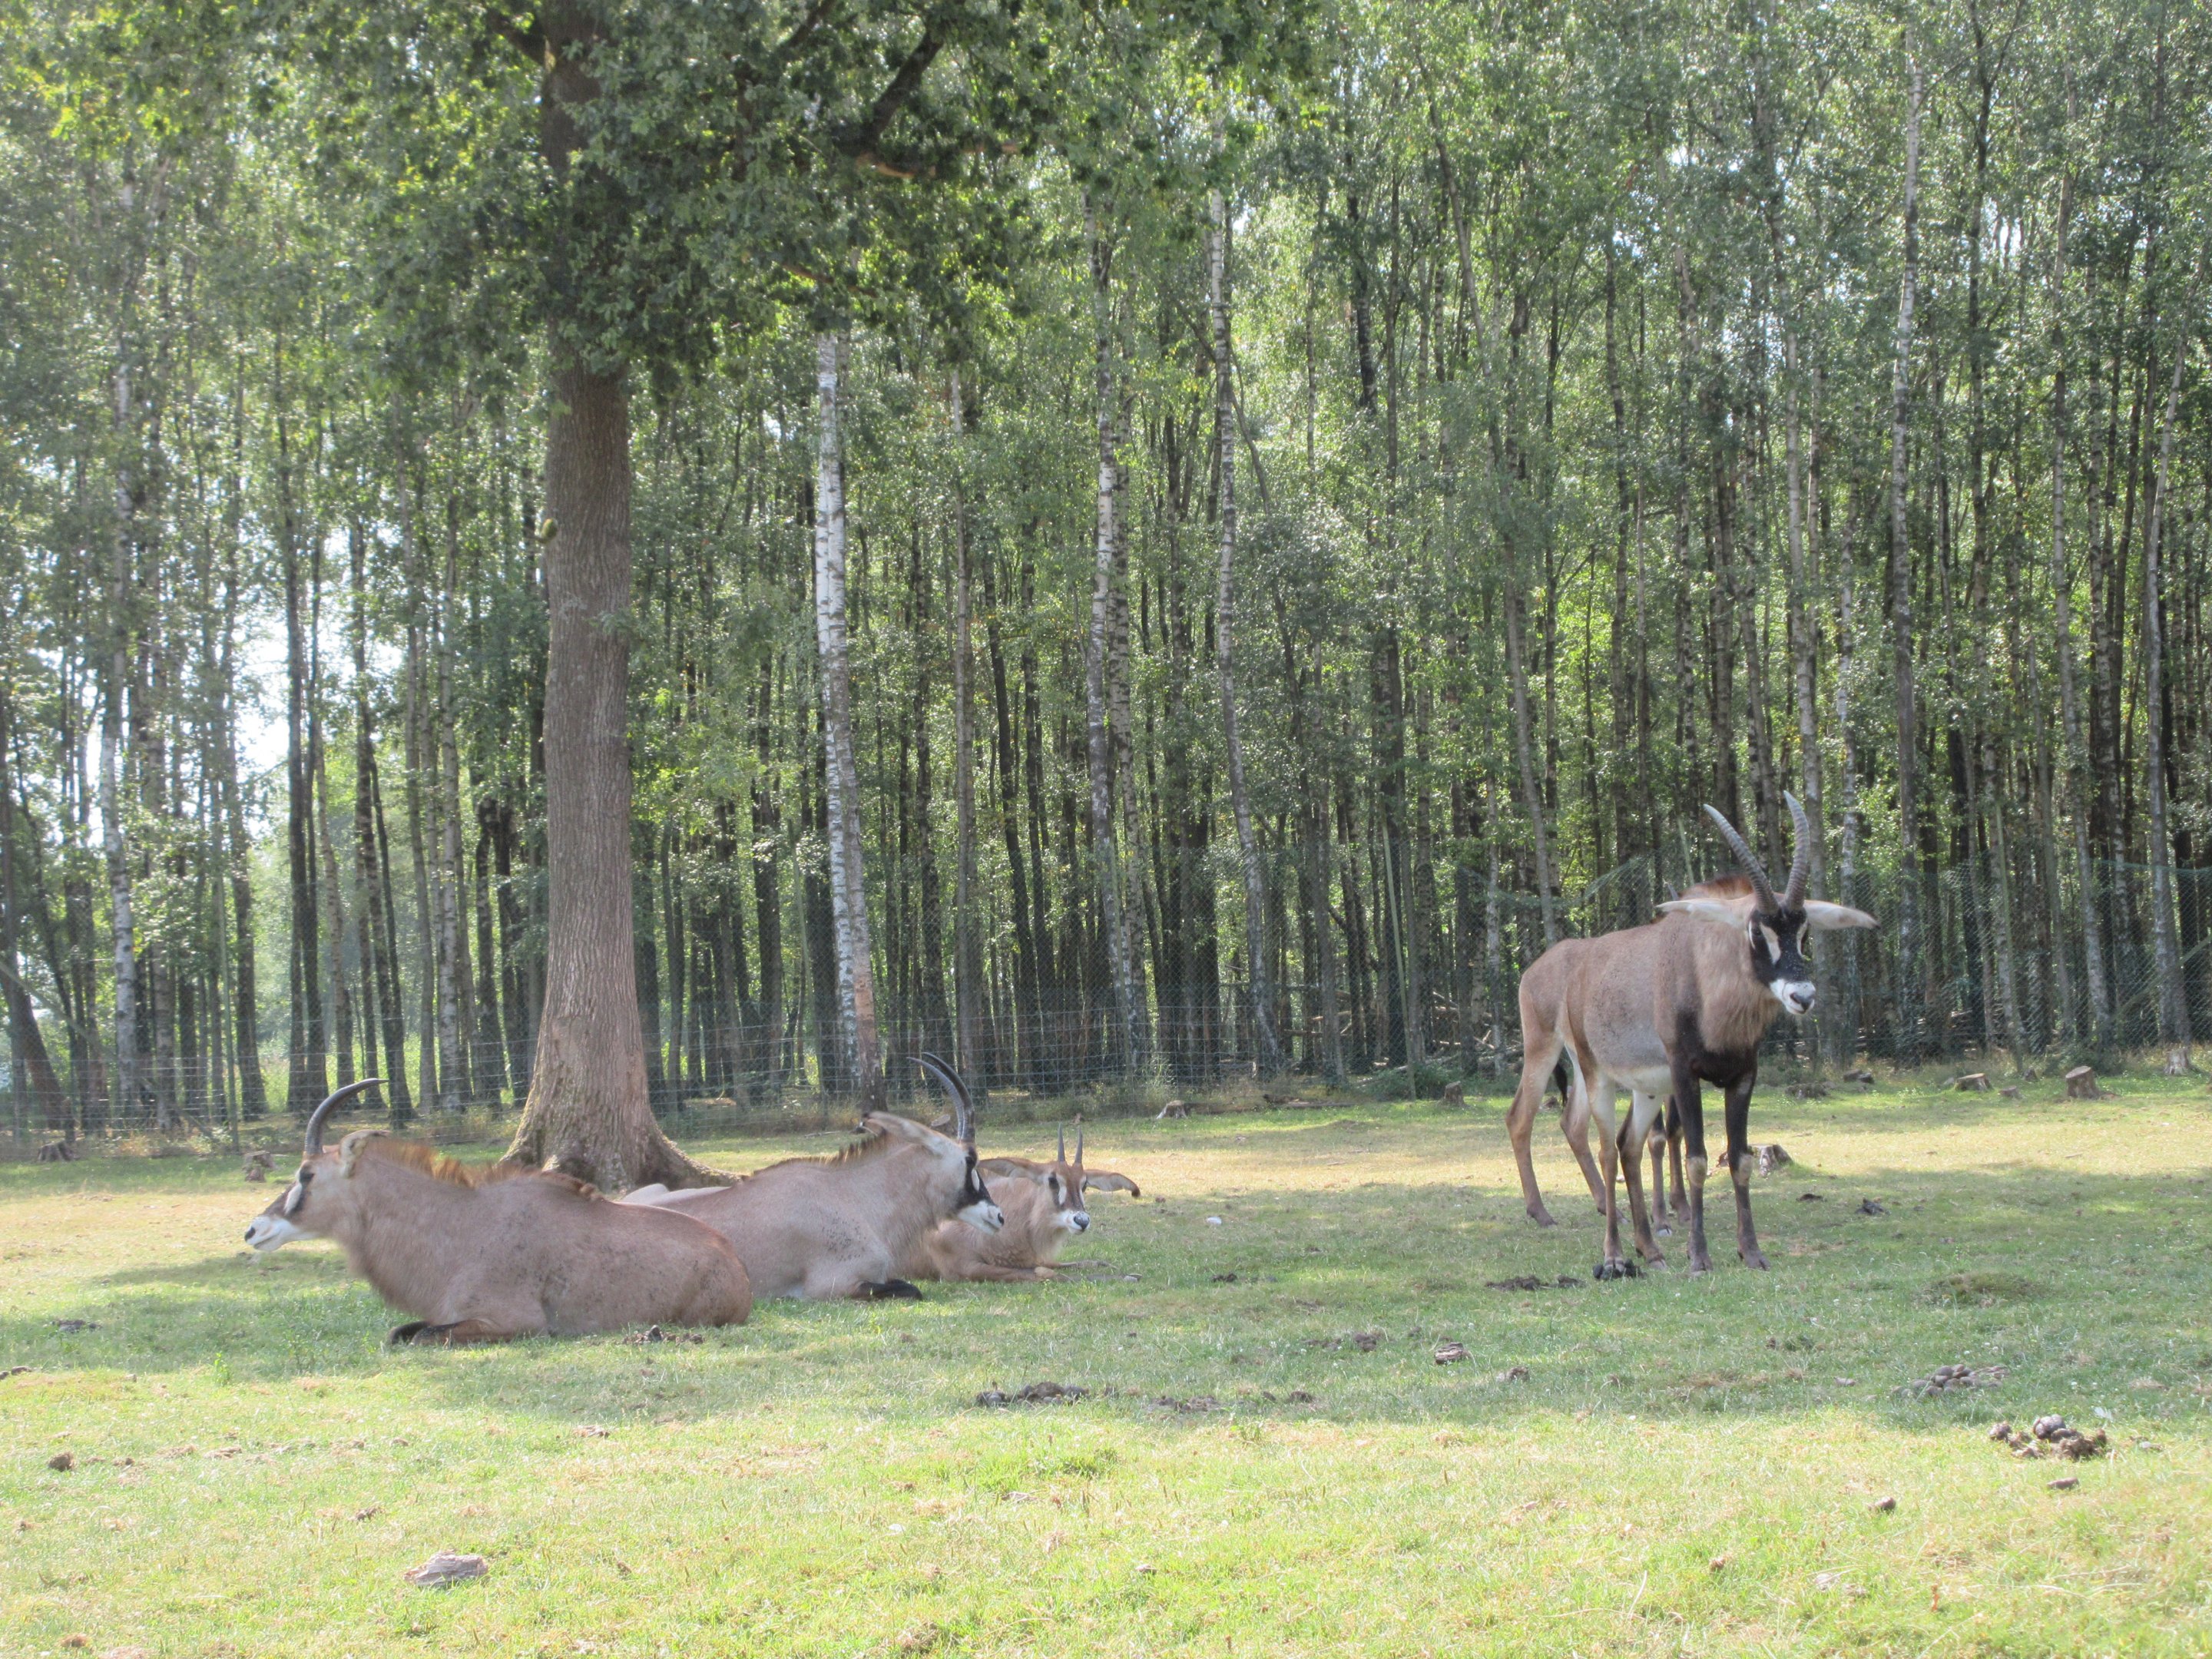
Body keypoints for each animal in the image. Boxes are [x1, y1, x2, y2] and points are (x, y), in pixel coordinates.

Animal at [244, 1080, 753, 1344]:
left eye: (307, 1174)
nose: (253, 1229)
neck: (462, 1227)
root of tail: (732, 1259)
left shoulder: (511, 1323)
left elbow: (421, 1337)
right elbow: (400, 1332)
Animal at [903, 1124, 1142, 1283]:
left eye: (1084, 1185)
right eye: (1052, 1180)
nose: (1081, 1221)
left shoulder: (1032, 1258)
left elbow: (1084, 1263)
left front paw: (1125, 1271)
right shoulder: (968, 1269)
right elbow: (1048, 1273)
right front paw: (1126, 1277)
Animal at [1510, 796, 1875, 1277]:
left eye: (1803, 930)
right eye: (1756, 929)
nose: (1803, 996)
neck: (1705, 978)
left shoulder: (1741, 1078)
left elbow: (1739, 1160)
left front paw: (1751, 1252)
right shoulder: (1686, 1076)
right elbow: (1697, 1158)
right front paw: (1699, 1256)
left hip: (1645, 1088)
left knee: (1626, 1145)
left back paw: (1649, 1249)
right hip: (1577, 1064)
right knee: (1594, 1144)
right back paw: (1606, 1249)